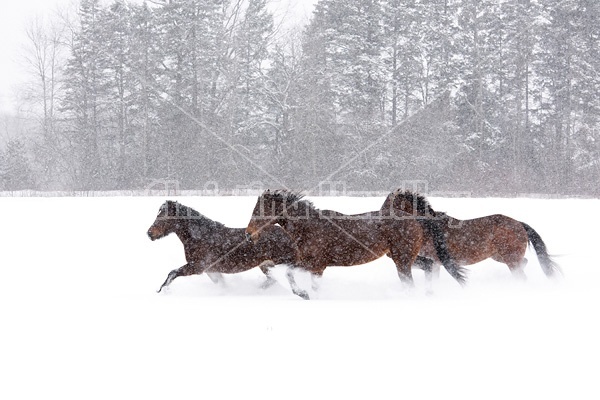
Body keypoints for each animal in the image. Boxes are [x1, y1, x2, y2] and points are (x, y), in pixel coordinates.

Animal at [145, 202, 296, 292]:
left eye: (164, 217)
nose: (149, 233)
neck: (201, 236)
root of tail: (288, 235)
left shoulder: (198, 267)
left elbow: (172, 273)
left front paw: (161, 290)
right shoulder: (210, 269)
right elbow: (220, 283)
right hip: (266, 265)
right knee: (272, 279)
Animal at [245, 189, 468, 298]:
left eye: (260, 210)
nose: (248, 233)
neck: (309, 227)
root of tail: (416, 219)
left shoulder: (316, 266)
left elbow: (292, 276)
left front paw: (304, 294)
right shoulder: (310, 266)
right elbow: (279, 272)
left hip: (402, 260)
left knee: (411, 282)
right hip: (403, 258)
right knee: (429, 266)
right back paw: (429, 293)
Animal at [382, 190, 560, 278]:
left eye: (387, 206)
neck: (428, 228)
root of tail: (519, 224)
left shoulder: (434, 261)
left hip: (510, 258)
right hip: (500, 256)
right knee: (524, 263)